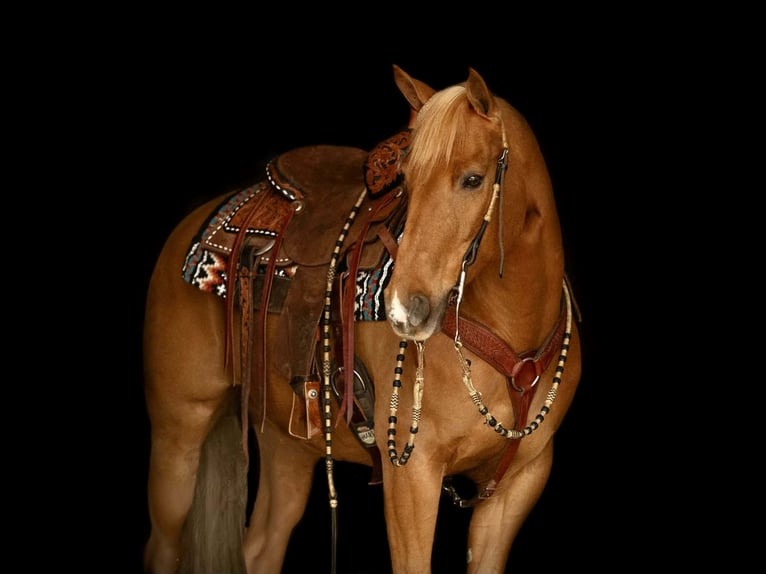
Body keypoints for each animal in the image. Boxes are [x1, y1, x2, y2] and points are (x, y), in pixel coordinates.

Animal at [142, 64, 582, 574]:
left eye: (473, 179)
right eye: (406, 180)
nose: (403, 309)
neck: (511, 339)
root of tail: (191, 226)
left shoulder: (518, 486)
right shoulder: (411, 477)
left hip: (287, 445)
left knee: (261, 548)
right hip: (179, 436)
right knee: (163, 547)